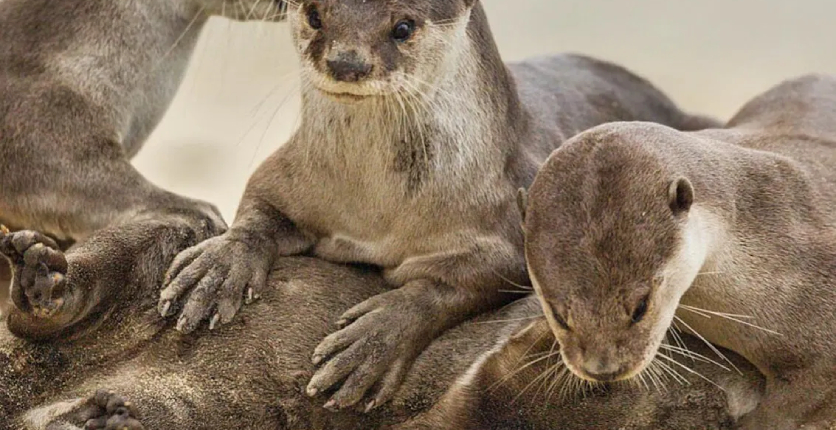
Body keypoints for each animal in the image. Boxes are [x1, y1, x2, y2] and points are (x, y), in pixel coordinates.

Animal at [159, 0, 719, 411]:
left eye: (402, 26)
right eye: (316, 15)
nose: (346, 62)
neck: (376, 209)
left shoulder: (511, 225)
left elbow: (452, 285)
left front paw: (374, 341)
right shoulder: (288, 171)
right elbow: (256, 210)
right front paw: (217, 267)